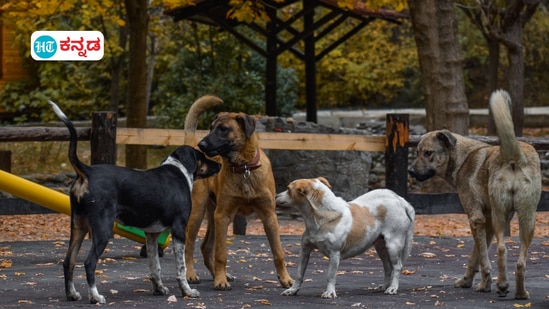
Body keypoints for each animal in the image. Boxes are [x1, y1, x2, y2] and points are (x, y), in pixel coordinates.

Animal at [49, 100, 219, 302]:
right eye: (202, 157)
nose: (219, 165)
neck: (179, 171)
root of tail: (87, 171)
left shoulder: (152, 234)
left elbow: (155, 267)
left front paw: (159, 289)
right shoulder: (179, 229)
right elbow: (181, 267)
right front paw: (187, 291)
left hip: (78, 226)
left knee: (69, 261)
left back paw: (72, 294)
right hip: (102, 229)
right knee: (89, 263)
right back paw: (96, 297)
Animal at [182, 95, 294, 290]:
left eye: (223, 129)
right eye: (210, 128)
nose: (202, 144)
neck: (244, 168)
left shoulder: (269, 216)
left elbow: (278, 252)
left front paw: (285, 279)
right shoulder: (223, 215)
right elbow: (221, 254)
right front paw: (220, 281)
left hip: (214, 215)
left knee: (206, 247)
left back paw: (217, 274)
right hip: (198, 212)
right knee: (189, 246)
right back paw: (192, 274)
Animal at [276, 177, 414, 298]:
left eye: (288, 189)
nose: (275, 196)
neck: (319, 218)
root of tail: (400, 200)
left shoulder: (334, 254)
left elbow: (330, 275)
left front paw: (329, 292)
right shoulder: (305, 250)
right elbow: (299, 273)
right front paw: (293, 290)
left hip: (393, 246)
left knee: (397, 267)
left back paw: (393, 288)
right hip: (381, 247)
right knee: (388, 267)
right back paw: (385, 286)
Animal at [406, 89, 540, 298]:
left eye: (428, 153)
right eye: (417, 151)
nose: (410, 172)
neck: (462, 158)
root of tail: (514, 156)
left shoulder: (475, 218)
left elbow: (483, 259)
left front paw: (484, 284)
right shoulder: (487, 222)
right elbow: (475, 256)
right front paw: (467, 281)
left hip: (500, 216)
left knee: (502, 249)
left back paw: (502, 285)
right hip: (526, 218)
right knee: (520, 262)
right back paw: (520, 293)